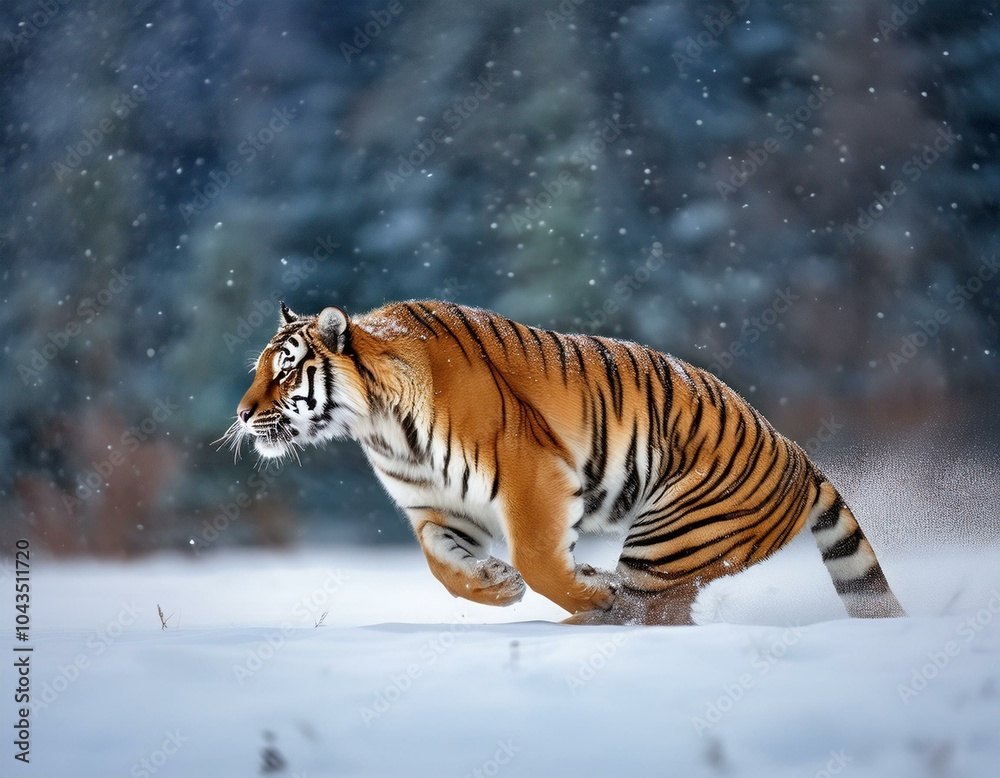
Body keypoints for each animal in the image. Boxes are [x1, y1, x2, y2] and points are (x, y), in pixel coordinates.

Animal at [224, 299, 906, 625]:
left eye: (284, 370)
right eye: (256, 369)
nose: (239, 411)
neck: (383, 428)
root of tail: (800, 455)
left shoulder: (532, 476)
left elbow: (540, 558)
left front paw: (584, 588)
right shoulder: (437, 508)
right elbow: (442, 568)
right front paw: (496, 587)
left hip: (672, 537)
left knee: (644, 610)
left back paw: (589, 615)